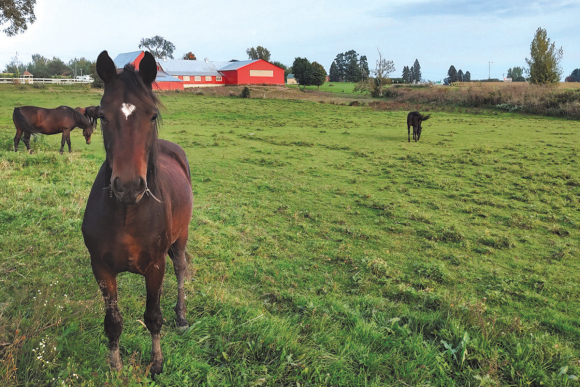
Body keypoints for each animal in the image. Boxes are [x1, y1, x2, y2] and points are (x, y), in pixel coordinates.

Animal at [80, 50, 194, 378]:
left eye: (152, 115)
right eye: (103, 116)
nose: (129, 186)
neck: (128, 214)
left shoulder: (156, 267)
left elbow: (153, 316)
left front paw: (156, 363)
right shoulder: (102, 269)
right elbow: (113, 322)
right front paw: (115, 365)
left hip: (180, 238)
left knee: (181, 270)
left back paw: (182, 317)